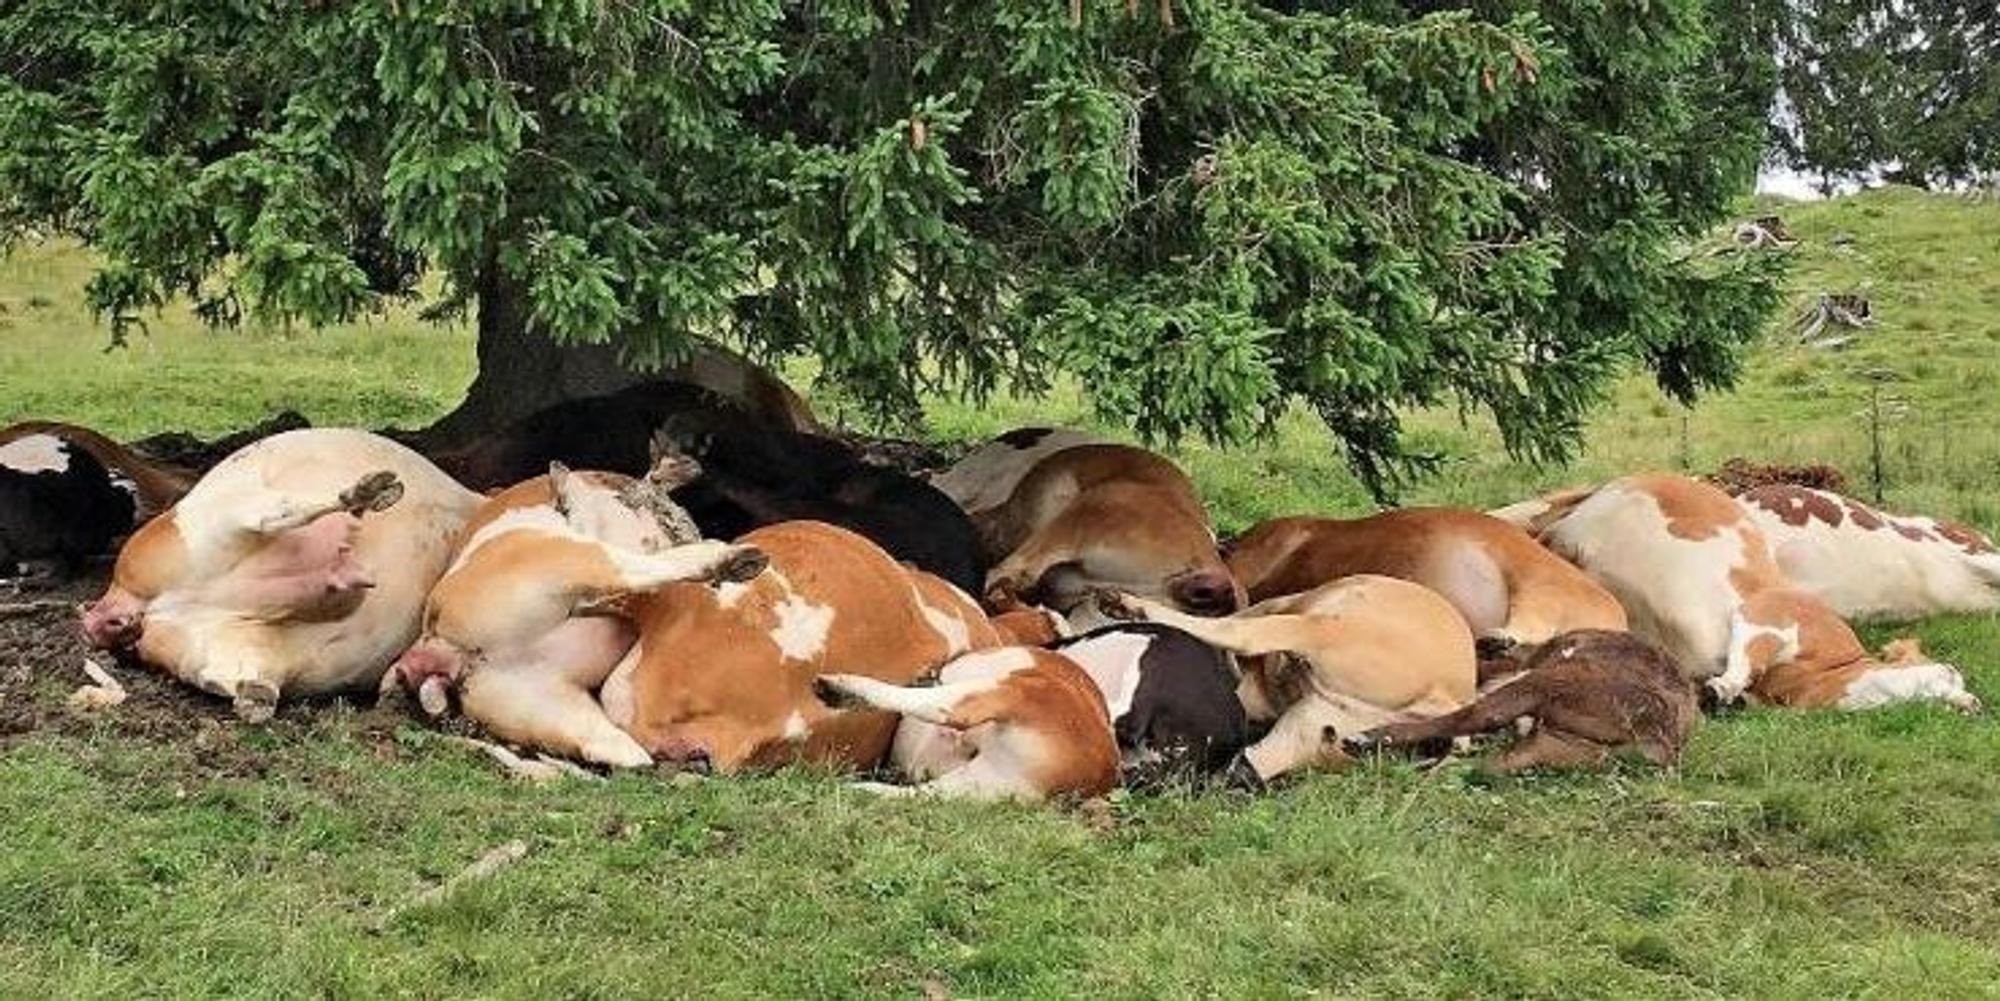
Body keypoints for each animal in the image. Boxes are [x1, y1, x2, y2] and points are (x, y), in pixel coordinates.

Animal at [386, 459, 768, 767]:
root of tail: (435, 645)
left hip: (545, 702)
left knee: (614, 750)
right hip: (563, 558)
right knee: (638, 566)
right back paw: (727, 558)